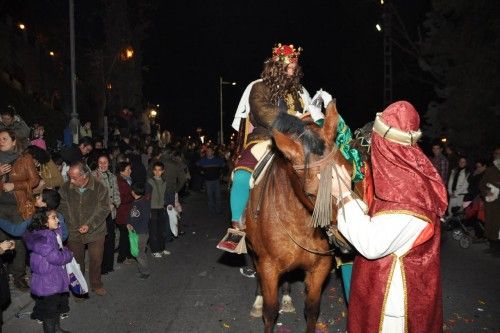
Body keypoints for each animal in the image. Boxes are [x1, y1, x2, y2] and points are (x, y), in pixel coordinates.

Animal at [244, 102, 354, 332]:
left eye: (350, 172)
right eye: (312, 193)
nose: (347, 237)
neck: (301, 222)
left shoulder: (320, 268)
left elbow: (311, 310)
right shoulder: (268, 267)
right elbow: (270, 312)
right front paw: (263, 306)